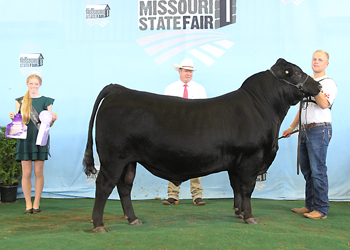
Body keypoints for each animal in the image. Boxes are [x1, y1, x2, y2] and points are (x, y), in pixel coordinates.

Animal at [84, 58, 320, 232]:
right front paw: (250, 216)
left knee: (125, 186)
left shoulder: (235, 163)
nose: (318, 85)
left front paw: (239, 212)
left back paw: (133, 219)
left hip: (129, 161)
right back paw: (99, 225)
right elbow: (247, 188)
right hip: (113, 158)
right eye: (296, 73)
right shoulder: (251, 160)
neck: (261, 107)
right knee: (104, 185)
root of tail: (118, 89)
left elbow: (237, 188)